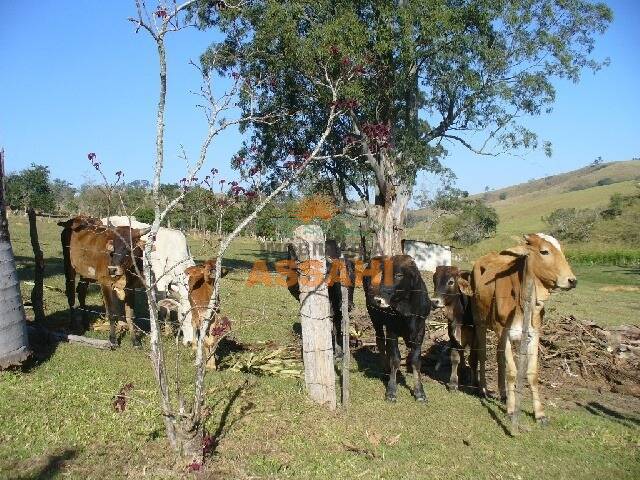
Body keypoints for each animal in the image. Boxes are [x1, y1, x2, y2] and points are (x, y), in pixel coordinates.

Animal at [57, 216, 148, 346]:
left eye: (128, 247)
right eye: (113, 247)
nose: (112, 269)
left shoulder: (131, 287)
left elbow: (130, 315)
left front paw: (135, 340)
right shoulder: (105, 283)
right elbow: (111, 312)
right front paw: (113, 339)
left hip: (86, 274)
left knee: (81, 292)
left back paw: (85, 323)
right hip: (69, 267)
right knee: (71, 294)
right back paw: (73, 324)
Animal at [364, 255, 430, 402]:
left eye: (399, 275)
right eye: (383, 275)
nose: (378, 299)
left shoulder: (420, 331)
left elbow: (416, 360)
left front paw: (419, 392)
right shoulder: (392, 329)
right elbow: (395, 359)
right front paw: (391, 390)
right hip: (375, 318)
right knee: (380, 341)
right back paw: (385, 370)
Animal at [430, 264, 476, 392]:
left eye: (450, 282)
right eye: (434, 279)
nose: (434, 302)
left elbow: (473, 358)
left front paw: (474, 383)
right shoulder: (452, 331)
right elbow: (455, 357)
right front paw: (453, 382)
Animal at [458, 232, 576, 424]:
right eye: (544, 251)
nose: (572, 280)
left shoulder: (533, 334)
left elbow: (532, 373)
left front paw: (539, 413)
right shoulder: (504, 332)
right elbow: (512, 371)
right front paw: (512, 410)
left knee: (499, 358)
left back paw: (503, 394)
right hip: (481, 323)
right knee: (482, 355)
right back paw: (483, 388)